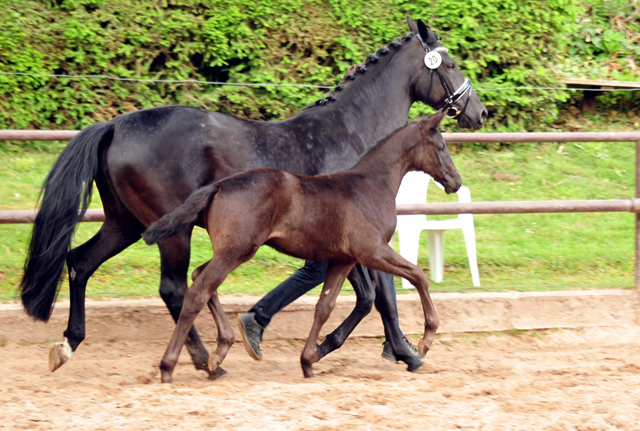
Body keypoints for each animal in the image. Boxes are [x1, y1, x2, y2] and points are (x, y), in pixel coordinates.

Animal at [143, 109, 460, 384]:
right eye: (441, 146)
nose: (455, 181)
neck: (370, 186)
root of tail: (219, 186)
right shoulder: (371, 251)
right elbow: (418, 275)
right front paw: (425, 341)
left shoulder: (344, 260)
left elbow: (325, 305)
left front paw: (309, 360)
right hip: (236, 251)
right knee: (197, 291)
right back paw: (170, 366)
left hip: (232, 250)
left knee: (199, 278)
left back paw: (220, 353)